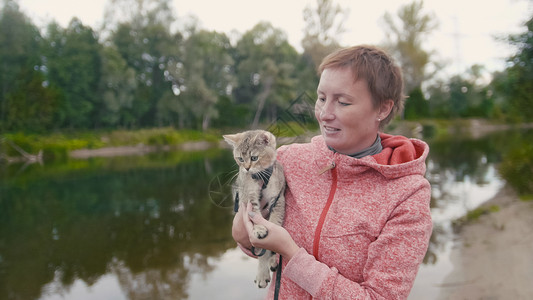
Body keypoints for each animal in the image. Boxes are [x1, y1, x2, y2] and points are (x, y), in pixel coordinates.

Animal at [222, 129, 284, 288]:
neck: (260, 177)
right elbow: (254, 213)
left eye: (254, 157)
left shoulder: (278, 198)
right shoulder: (247, 197)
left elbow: (275, 220)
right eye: (240, 159)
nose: (246, 168)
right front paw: (260, 228)